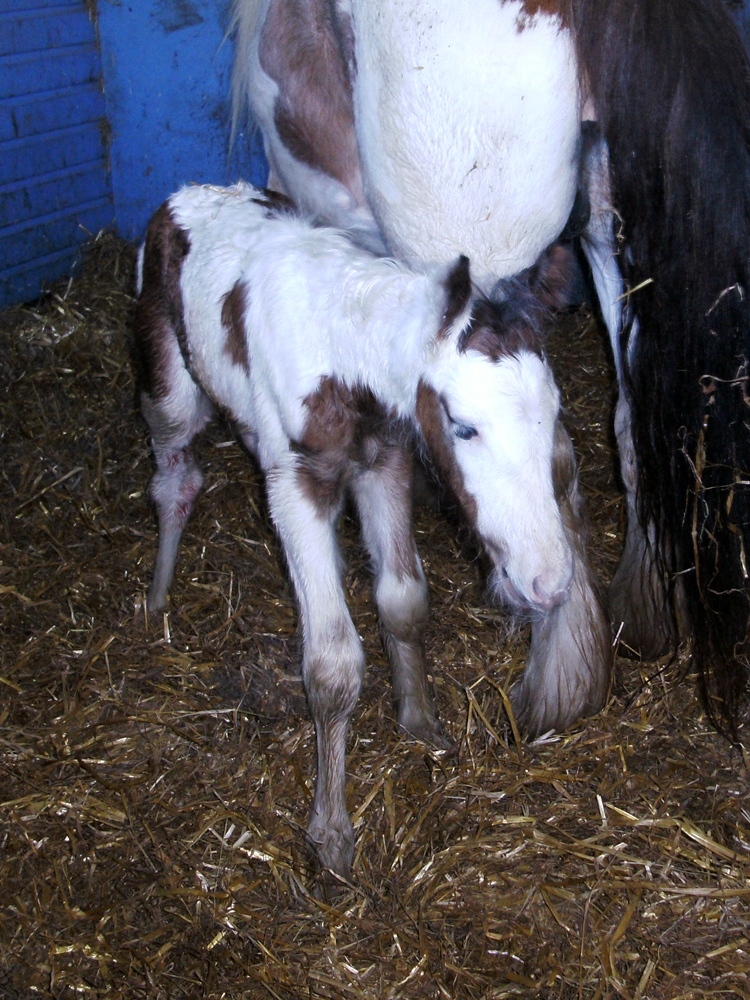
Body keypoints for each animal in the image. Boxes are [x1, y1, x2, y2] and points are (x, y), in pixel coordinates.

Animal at [133, 181, 611, 876]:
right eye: (463, 426)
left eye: (553, 415)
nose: (548, 583)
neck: (341, 351)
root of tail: (185, 193)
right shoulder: (295, 484)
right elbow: (332, 663)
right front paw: (330, 834)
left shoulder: (385, 461)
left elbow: (403, 601)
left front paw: (422, 724)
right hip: (168, 386)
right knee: (175, 480)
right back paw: (158, 596)